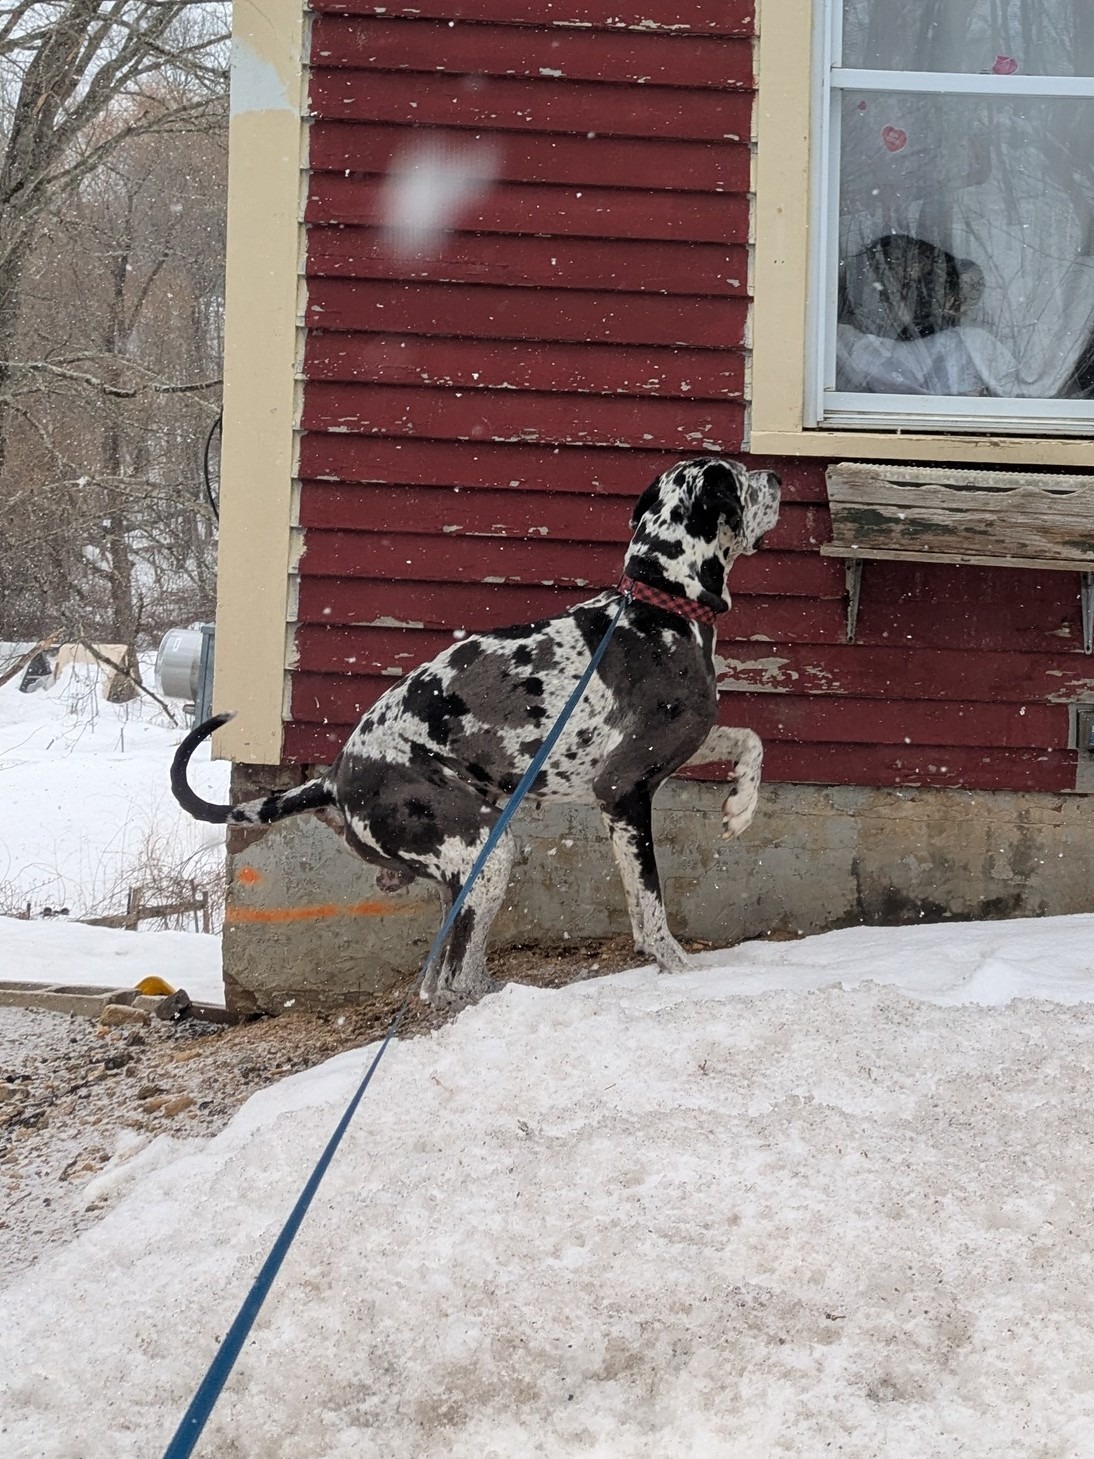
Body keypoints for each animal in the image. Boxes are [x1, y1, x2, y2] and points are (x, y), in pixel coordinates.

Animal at [171, 457, 781, 1007]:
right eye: (737, 475)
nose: (775, 476)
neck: (660, 606)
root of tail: (336, 778)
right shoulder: (623, 786)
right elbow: (650, 907)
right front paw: (682, 973)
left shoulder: (681, 742)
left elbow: (750, 739)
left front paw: (740, 807)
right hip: (485, 848)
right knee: (458, 977)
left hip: (466, 872)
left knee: (441, 978)